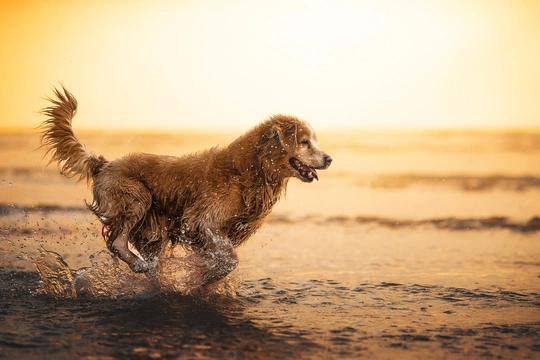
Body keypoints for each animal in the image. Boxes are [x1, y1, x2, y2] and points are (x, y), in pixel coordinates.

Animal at [40, 86, 332, 286]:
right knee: (116, 241)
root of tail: (102, 163)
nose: (328, 159)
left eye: (313, 141)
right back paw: (139, 266)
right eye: (305, 142)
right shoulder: (202, 219)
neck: (249, 170)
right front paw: (209, 278)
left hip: (151, 227)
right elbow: (229, 257)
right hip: (136, 197)